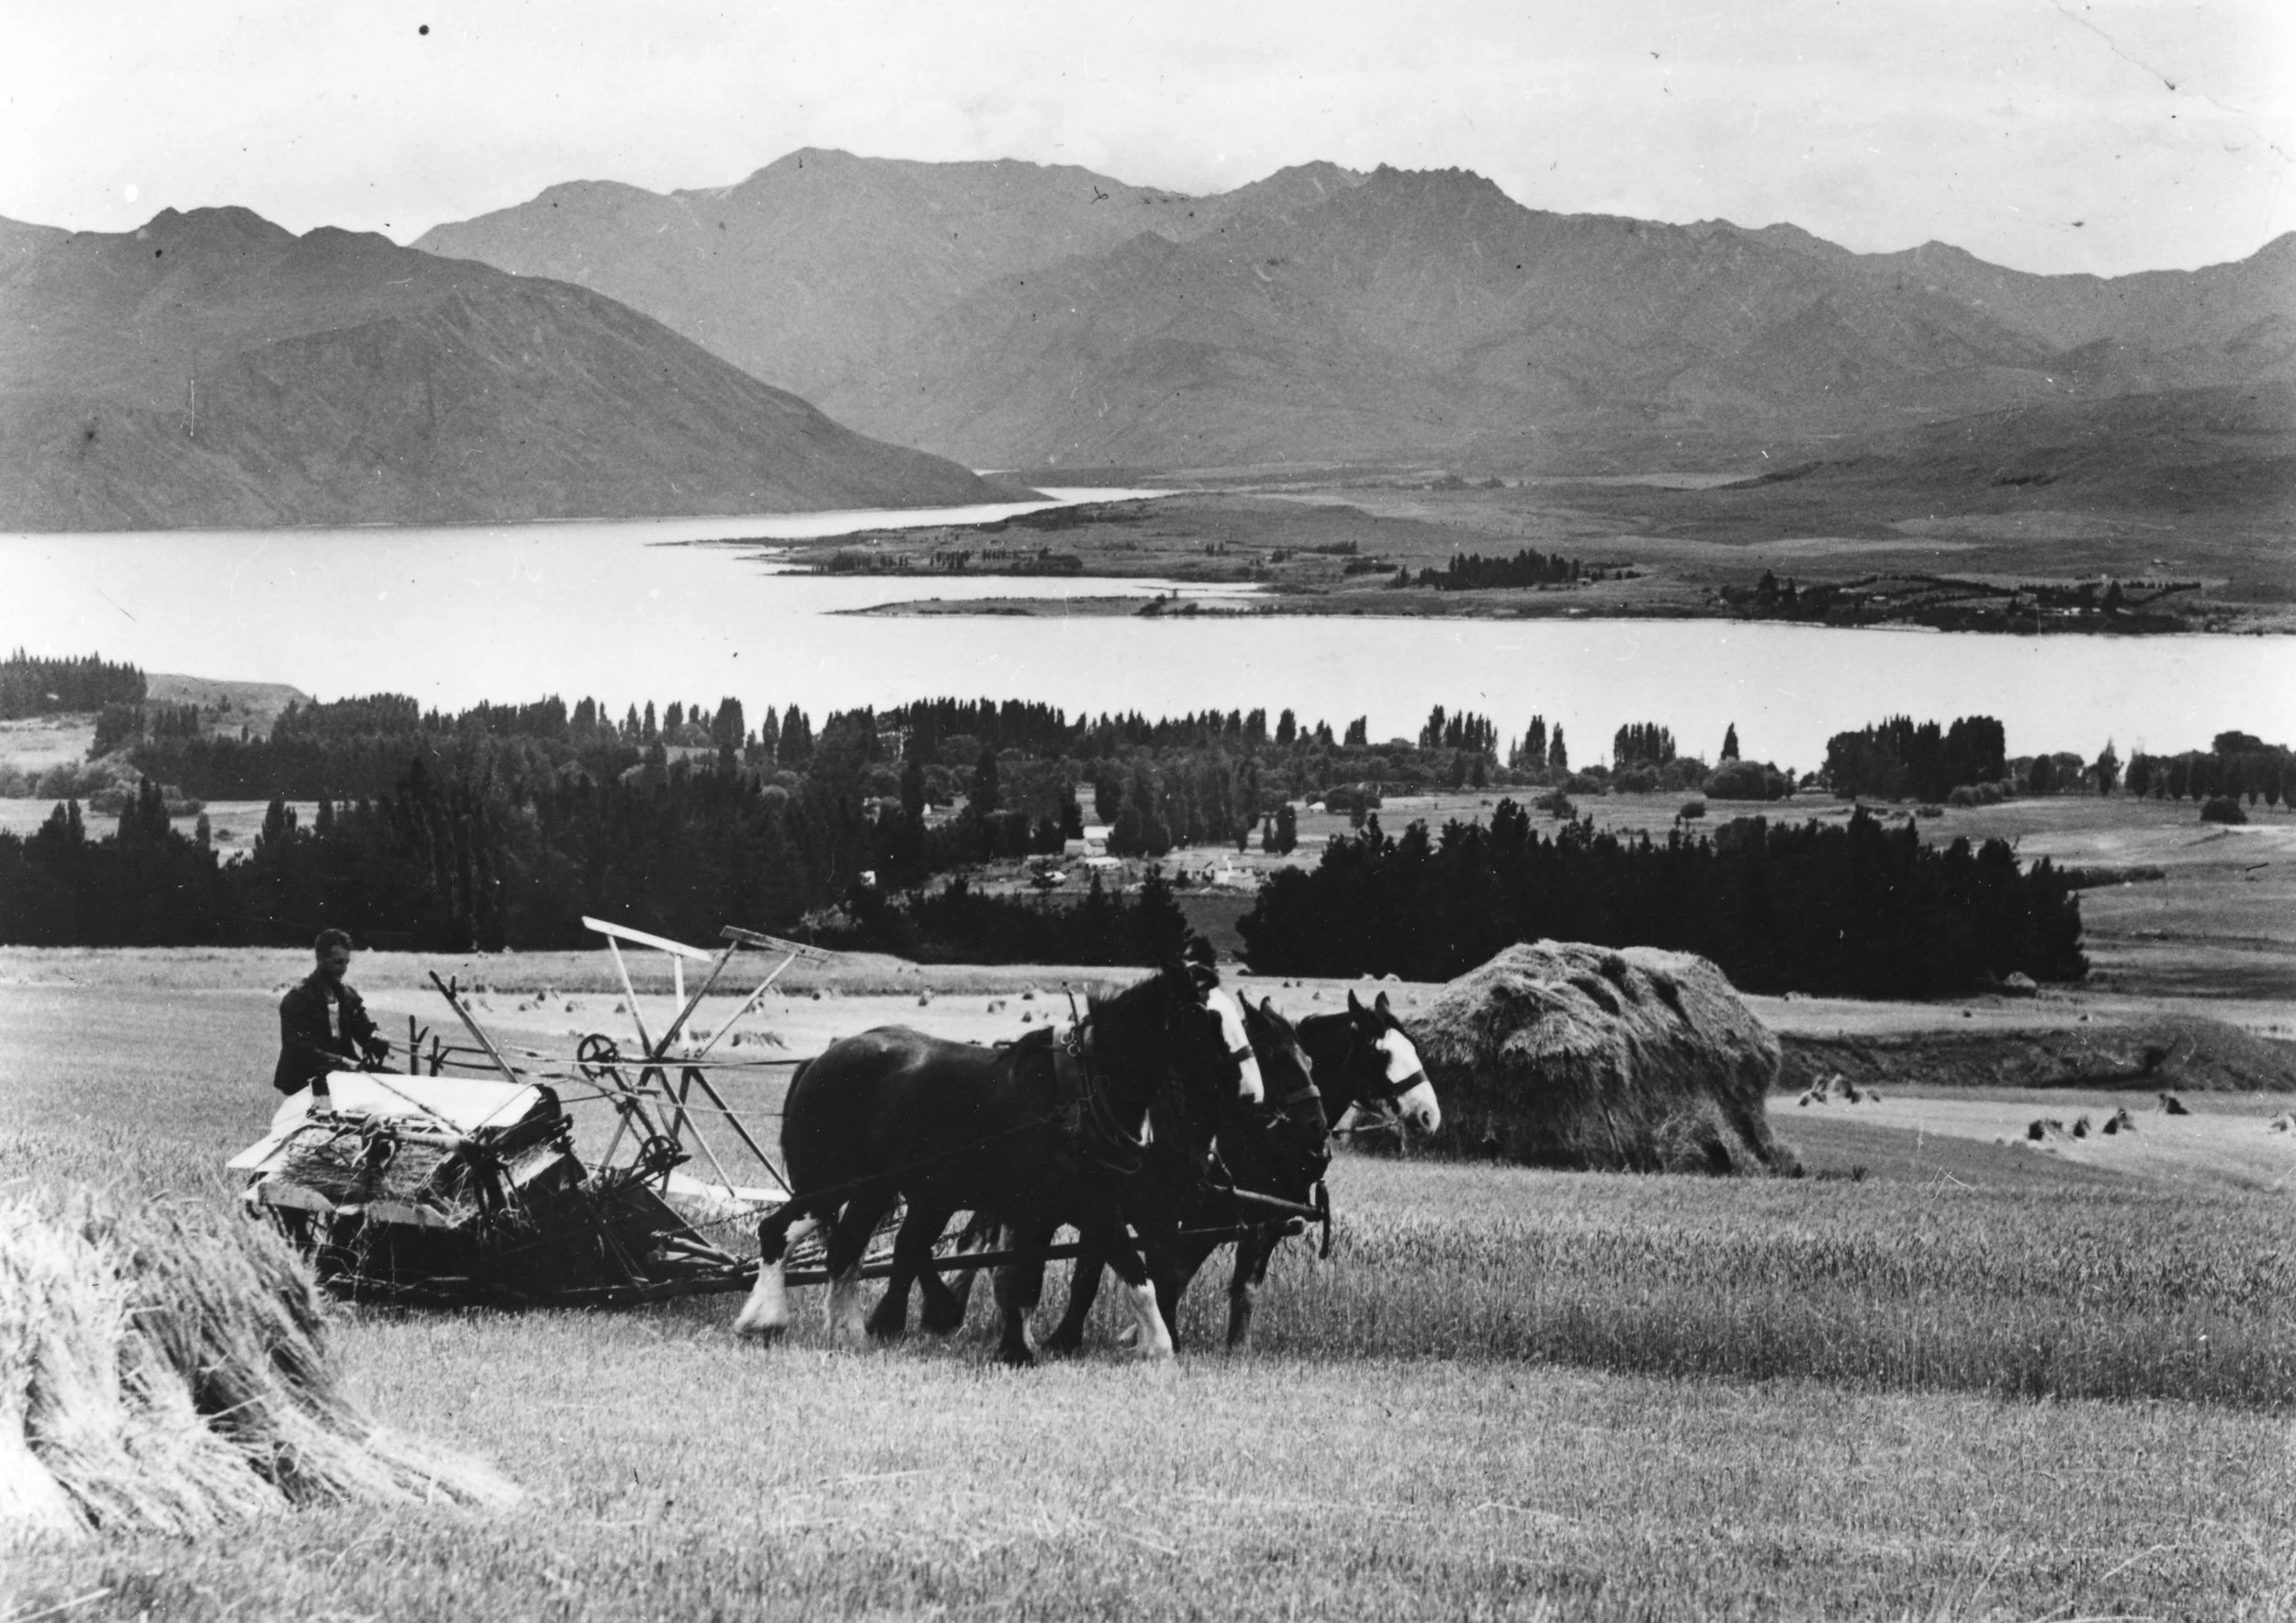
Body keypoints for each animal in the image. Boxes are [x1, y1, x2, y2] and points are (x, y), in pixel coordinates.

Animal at [731, 959, 1264, 1365]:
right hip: (834, 1184)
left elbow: (1104, 1276)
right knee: (778, 1231)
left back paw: (849, 1331)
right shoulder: (1053, 1209)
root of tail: (820, 1061)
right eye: (1199, 1014)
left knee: (845, 1250)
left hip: (875, 1191)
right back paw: (766, 1319)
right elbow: (1043, 1280)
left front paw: (1149, 1346)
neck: (1081, 1094)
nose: (1252, 1095)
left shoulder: (1084, 1208)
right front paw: (1022, 1351)